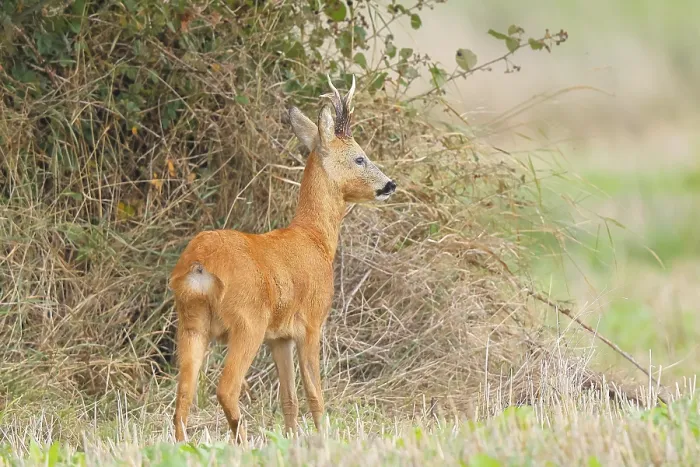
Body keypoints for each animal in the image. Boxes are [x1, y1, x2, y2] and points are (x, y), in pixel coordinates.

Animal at [168, 75, 397, 443]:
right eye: (360, 158)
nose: (390, 184)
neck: (315, 240)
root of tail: (199, 265)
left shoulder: (280, 336)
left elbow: (288, 397)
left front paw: (291, 440)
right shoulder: (312, 322)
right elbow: (315, 394)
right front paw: (323, 438)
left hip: (191, 322)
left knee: (183, 396)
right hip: (247, 321)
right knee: (225, 388)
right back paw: (242, 441)